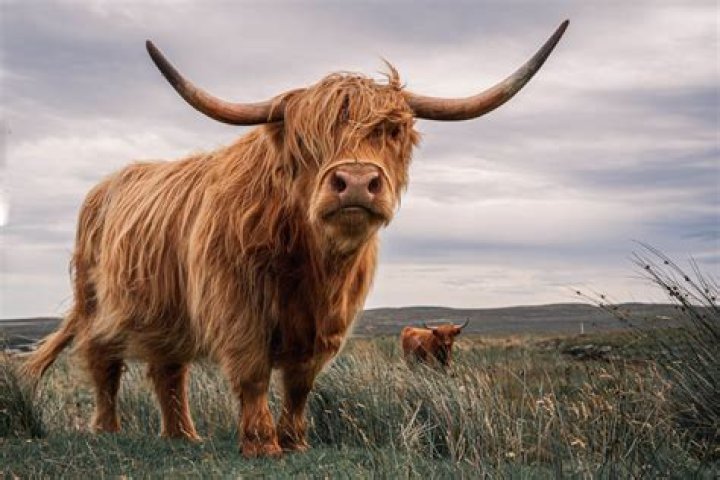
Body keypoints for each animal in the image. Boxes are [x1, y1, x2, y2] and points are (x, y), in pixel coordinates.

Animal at [23, 21, 568, 457]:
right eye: (307, 140)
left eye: (392, 132)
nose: (355, 181)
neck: (310, 263)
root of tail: (105, 186)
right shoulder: (236, 307)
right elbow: (252, 373)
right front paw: (263, 444)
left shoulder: (326, 324)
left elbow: (301, 382)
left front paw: (295, 440)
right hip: (96, 302)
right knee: (104, 363)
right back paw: (107, 429)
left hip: (166, 311)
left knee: (167, 370)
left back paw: (183, 435)